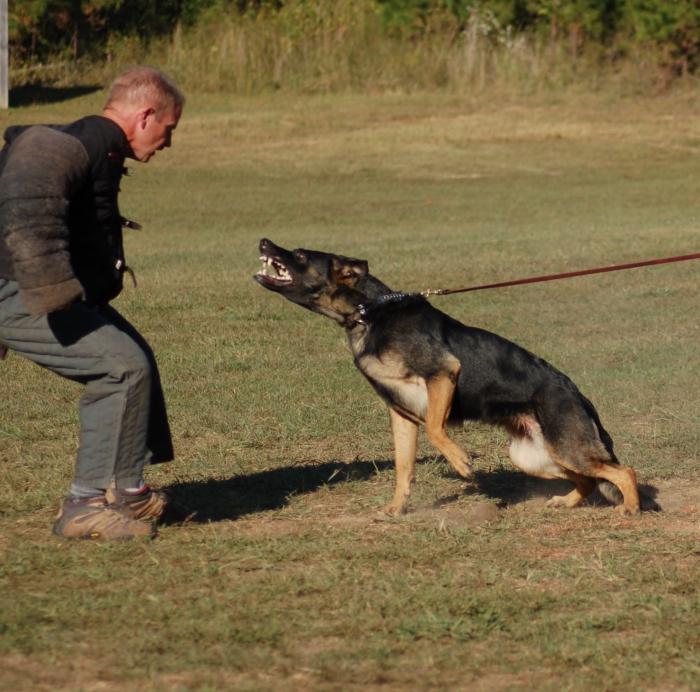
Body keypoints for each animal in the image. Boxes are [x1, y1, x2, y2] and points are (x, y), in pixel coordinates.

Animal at [253, 238, 640, 512]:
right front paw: (396, 509)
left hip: (565, 448)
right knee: (590, 479)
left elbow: (436, 429)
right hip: (537, 456)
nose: (263, 241)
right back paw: (567, 502)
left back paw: (630, 510)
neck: (368, 312)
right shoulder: (401, 413)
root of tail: (578, 394)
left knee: (624, 471)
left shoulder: (442, 374)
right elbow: (403, 467)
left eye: (299, 254)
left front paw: (461, 462)